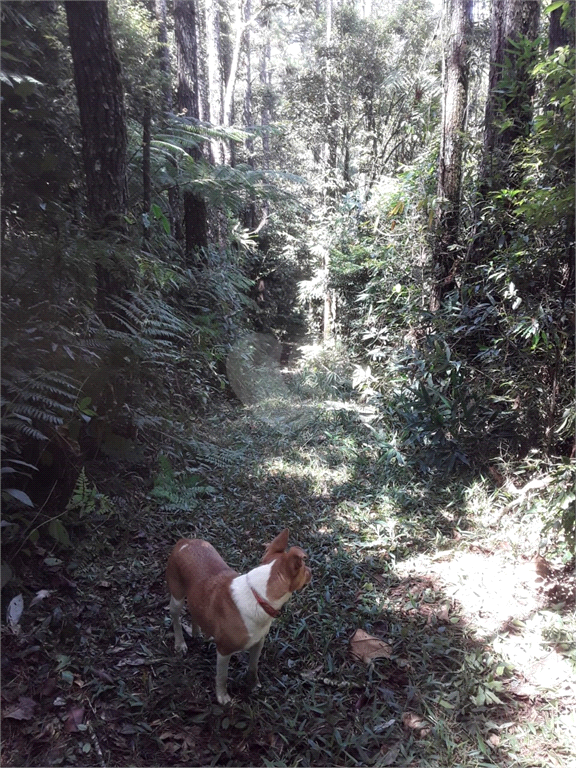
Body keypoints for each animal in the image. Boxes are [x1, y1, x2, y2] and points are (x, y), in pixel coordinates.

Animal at [165, 532, 310, 704]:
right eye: (304, 568)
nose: (311, 571)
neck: (257, 596)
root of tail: (185, 541)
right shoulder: (224, 650)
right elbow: (222, 676)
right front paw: (222, 697)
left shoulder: (258, 641)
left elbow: (253, 666)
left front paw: (253, 686)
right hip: (177, 595)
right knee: (175, 617)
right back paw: (180, 644)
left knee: (195, 610)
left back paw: (197, 633)